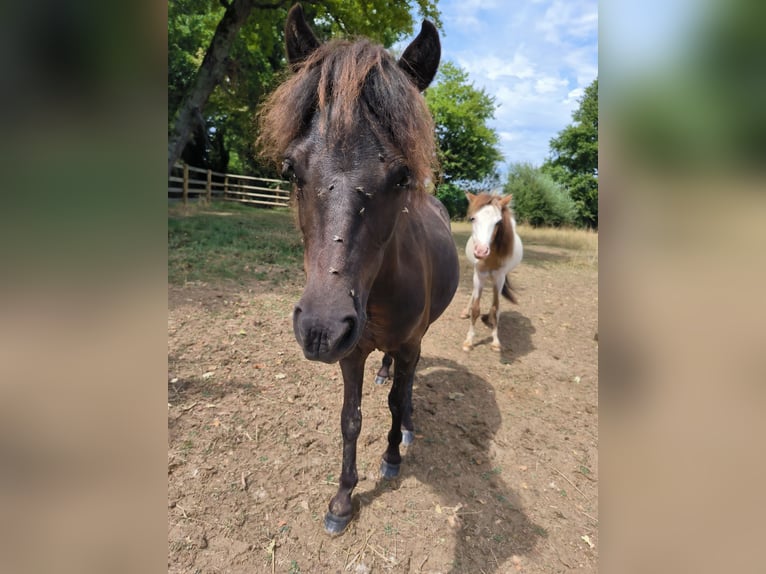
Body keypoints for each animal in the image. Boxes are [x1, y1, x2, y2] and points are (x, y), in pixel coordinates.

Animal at [258, 4, 459, 535]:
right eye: (290, 169)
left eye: (402, 176)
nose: (320, 330)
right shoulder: (351, 353)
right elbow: (351, 418)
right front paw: (342, 501)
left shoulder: (408, 343)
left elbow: (393, 405)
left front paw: (391, 457)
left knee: (406, 386)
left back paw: (406, 424)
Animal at [461, 192, 523, 352]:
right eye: (472, 218)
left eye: (498, 222)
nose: (481, 251)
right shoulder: (479, 276)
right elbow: (476, 309)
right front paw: (469, 341)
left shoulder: (499, 278)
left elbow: (495, 307)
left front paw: (495, 341)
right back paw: (465, 312)